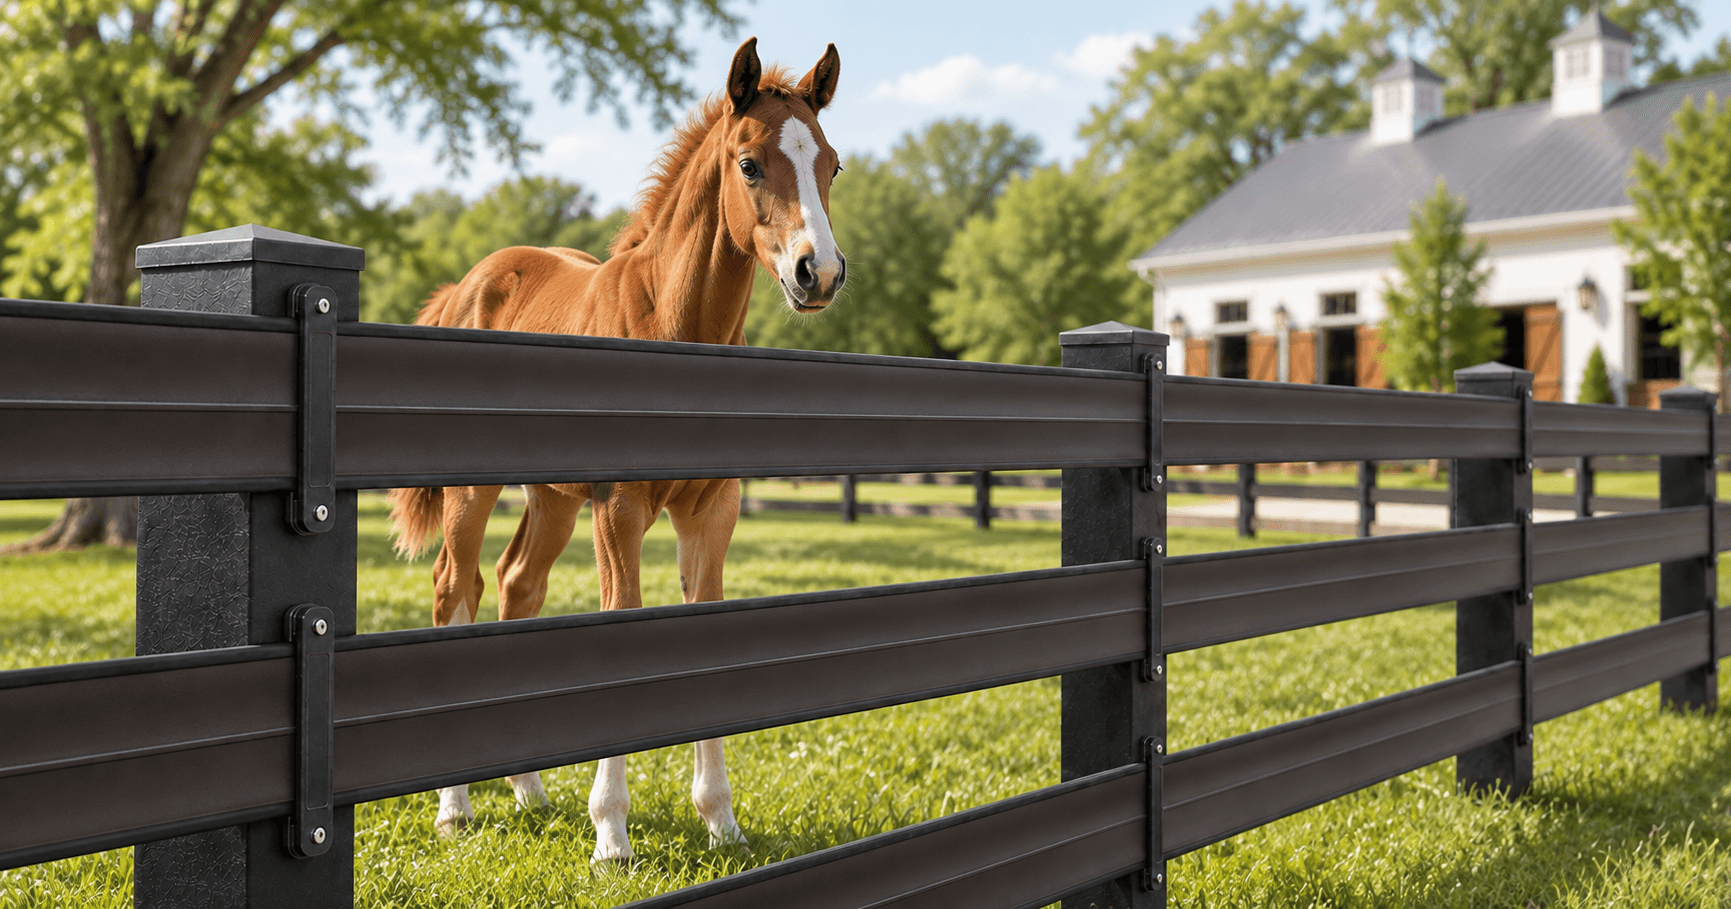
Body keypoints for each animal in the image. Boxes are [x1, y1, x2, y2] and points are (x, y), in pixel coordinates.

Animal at [386, 38, 845, 862]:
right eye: (749, 163)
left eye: (831, 165)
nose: (816, 272)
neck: (666, 324)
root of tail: (469, 283)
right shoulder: (619, 510)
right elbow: (619, 629)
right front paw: (612, 835)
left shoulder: (711, 512)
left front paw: (720, 820)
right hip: (475, 493)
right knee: (455, 586)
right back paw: (455, 805)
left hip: (551, 500)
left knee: (517, 585)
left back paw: (529, 789)